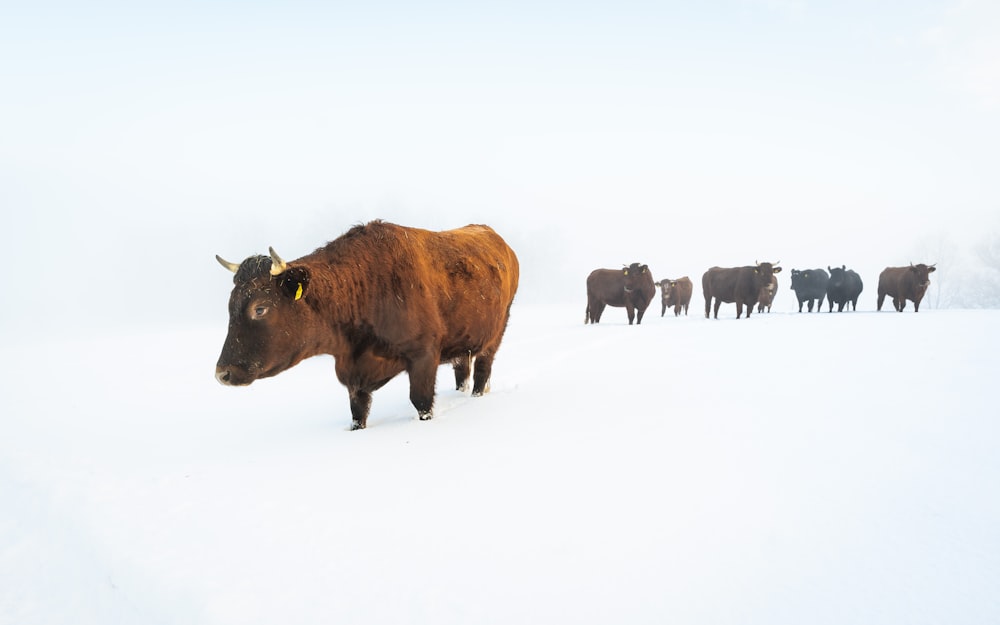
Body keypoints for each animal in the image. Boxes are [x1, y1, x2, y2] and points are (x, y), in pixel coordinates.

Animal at [214, 219, 520, 428]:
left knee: (481, 373)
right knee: (462, 373)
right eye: (230, 305)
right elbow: (357, 415)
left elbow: (421, 403)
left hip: (495, 335)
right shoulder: (355, 381)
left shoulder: (423, 357)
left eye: (260, 308)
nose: (222, 374)